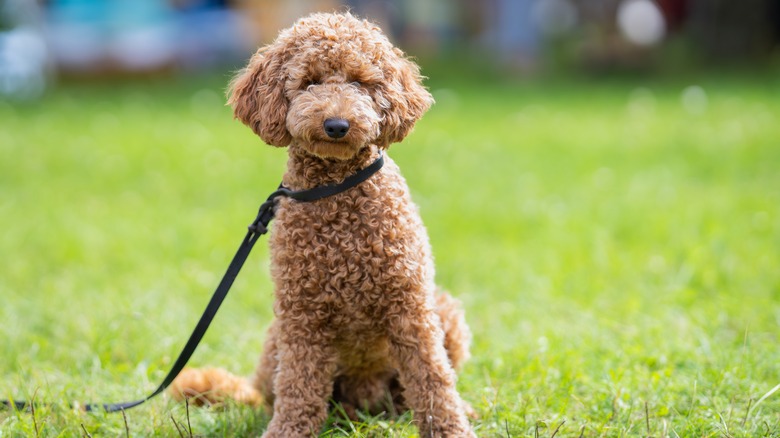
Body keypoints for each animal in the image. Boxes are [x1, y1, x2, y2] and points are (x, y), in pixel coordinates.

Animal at [171, 12, 476, 436]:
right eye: (309, 82)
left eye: (360, 82)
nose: (336, 124)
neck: (336, 189)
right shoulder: (302, 317)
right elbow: (299, 388)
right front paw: (287, 431)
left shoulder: (410, 307)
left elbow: (432, 378)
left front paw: (450, 428)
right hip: (278, 341)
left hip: (444, 312)